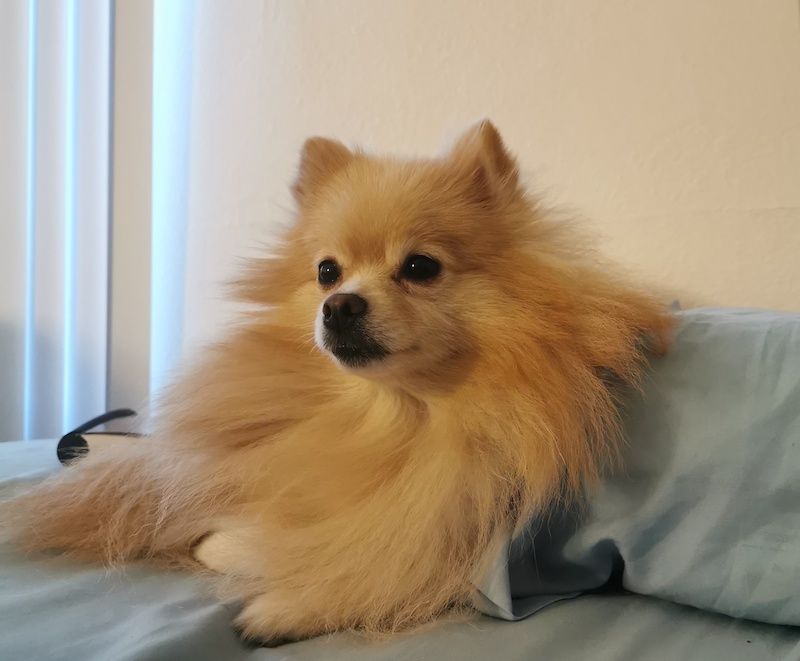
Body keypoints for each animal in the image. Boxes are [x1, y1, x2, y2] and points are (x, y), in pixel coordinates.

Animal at [6, 121, 672, 640]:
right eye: (327, 271)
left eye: (420, 267)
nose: (341, 305)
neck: (401, 415)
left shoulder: (477, 545)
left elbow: (358, 559)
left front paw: (274, 603)